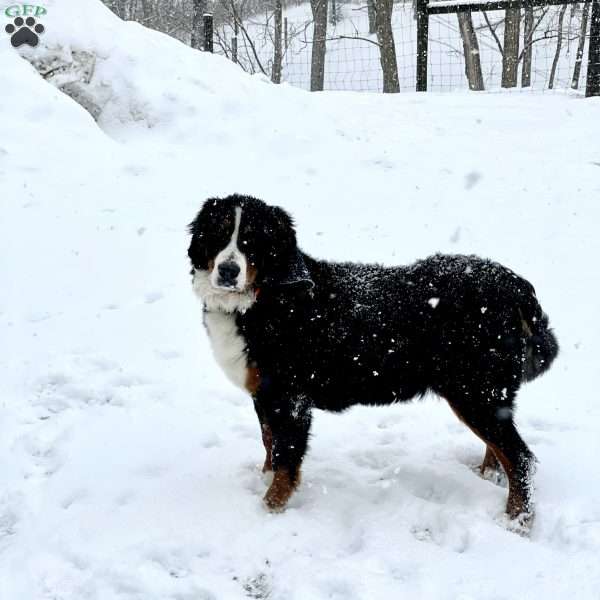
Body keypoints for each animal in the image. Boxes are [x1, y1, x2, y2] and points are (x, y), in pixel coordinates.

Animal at [188, 193, 556, 524]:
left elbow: (285, 457)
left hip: (475, 392)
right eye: (219, 233)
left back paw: (516, 520)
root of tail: (514, 286)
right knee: (501, 451)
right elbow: (269, 443)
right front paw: (264, 480)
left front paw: (269, 509)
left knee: (521, 459)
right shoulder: (264, 395)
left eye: (252, 241)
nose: (228, 270)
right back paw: (486, 478)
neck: (266, 298)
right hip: (485, 396)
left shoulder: (290, 399)